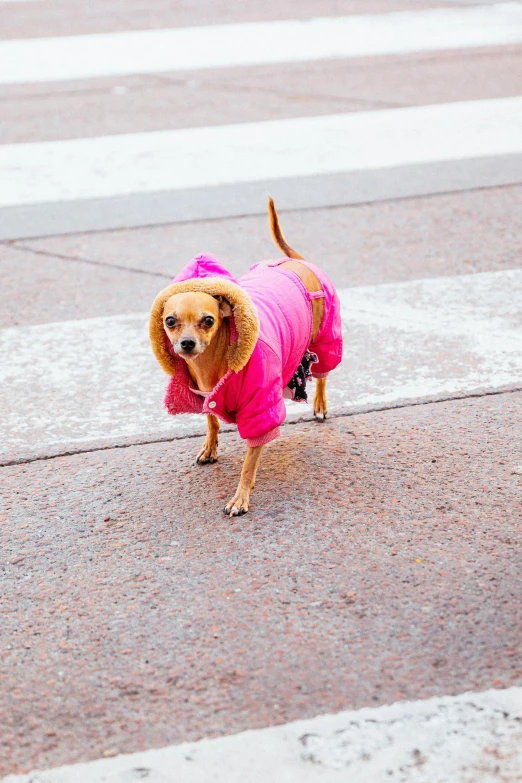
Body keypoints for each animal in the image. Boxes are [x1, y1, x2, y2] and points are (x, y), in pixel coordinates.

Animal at [149, 201, 342, 516]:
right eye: (170, 321)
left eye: (208, 320)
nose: (187, 343)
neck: (211, 366)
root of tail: (297, 262)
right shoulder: (205, 395)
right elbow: (212, 421)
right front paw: (210, 447)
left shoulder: (259, 410)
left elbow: (248, 465)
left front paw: (240, 497)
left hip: (326, 342)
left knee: (323, 375)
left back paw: (320, 405)